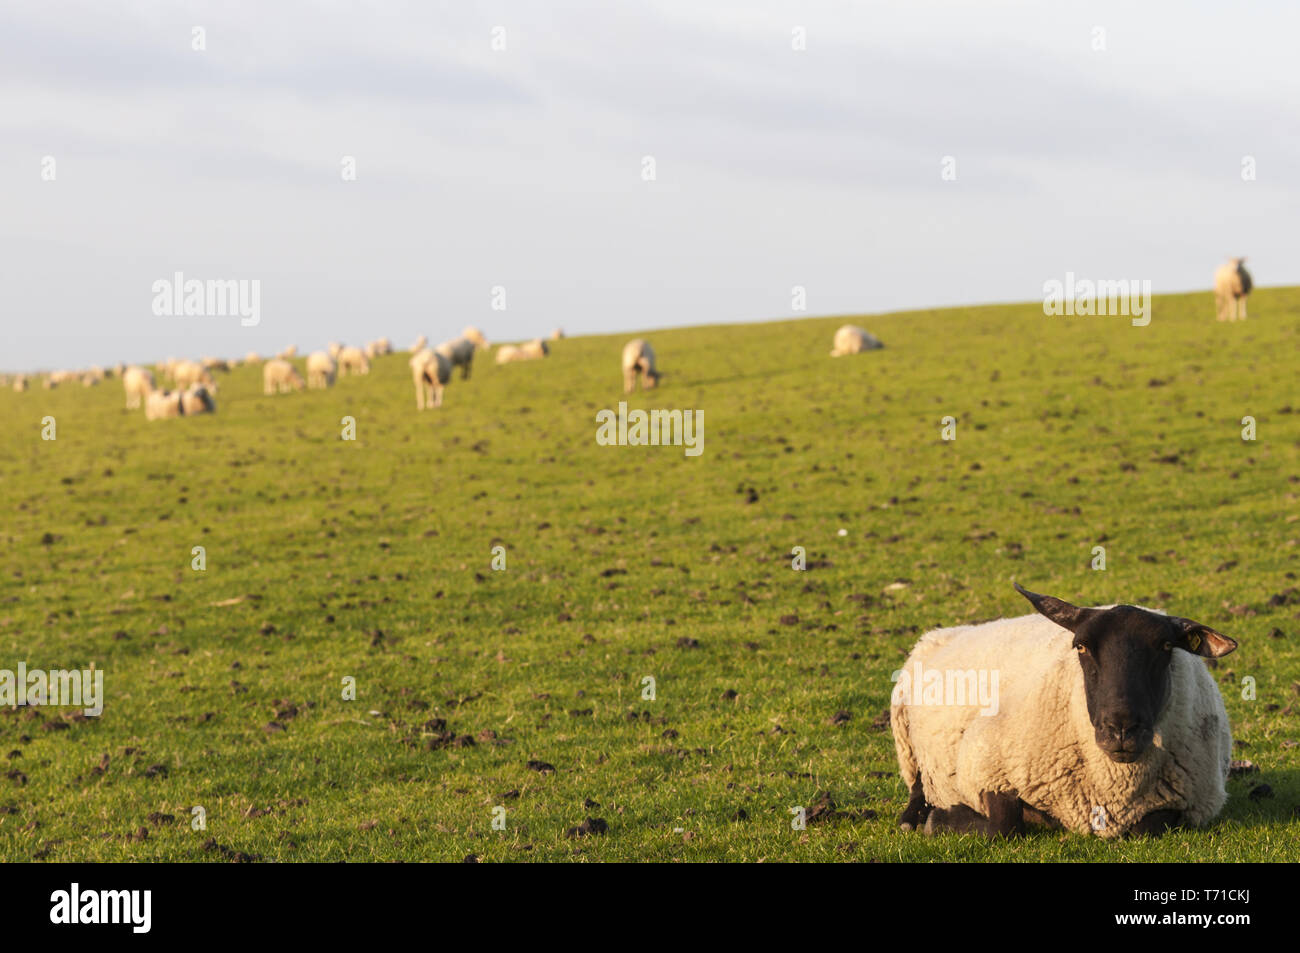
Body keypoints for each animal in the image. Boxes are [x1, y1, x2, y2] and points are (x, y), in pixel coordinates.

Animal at [892, 583, 1238, 839]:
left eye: (1166, 647)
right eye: (1081, 647)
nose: (1121, 730)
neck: (1114, 786)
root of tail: (939, 633)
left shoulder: (1190, 801)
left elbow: (1147, 828)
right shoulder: (987, 765)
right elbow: (1004, 826)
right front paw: (940, 820)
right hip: (908, 743)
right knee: (918, 785)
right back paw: (914, 818)